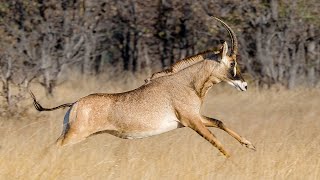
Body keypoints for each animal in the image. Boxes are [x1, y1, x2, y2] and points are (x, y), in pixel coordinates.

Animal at [30, 16, 255, 158]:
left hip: (72, 134)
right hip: (75, 135)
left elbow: (219, 122)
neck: (186, 82)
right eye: (232, 62)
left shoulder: (194, 118)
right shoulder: (192, 121)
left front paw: (249, 144)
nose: (244, 85)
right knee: (50, 149)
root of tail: (74, 105)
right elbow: (217, 142)